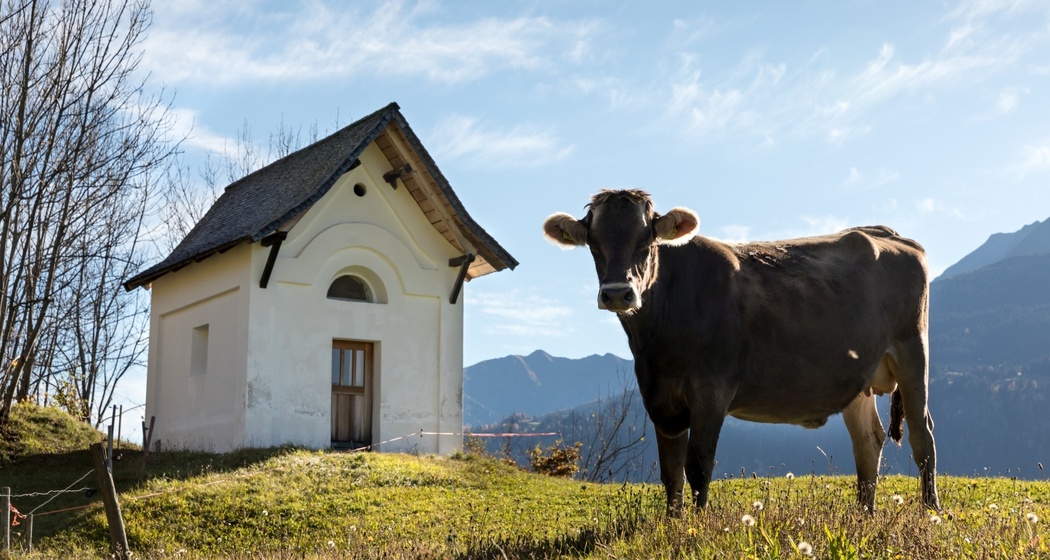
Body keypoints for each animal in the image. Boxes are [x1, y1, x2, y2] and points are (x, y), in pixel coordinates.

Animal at [543, 189, 940, 513]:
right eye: (594, 243)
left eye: (647, 240)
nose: (617, 293)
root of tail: (885, 232)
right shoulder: (659, 397)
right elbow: (671, 473)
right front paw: (673, 523)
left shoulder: (712, 389)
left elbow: (698, 465)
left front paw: (696, 526)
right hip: (857, 376)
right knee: (868, 441)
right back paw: (863, 515)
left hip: (912, 348)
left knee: (922, 436)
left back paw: (929, 512)